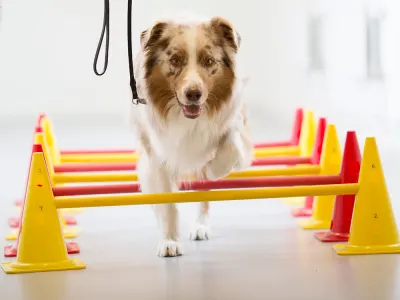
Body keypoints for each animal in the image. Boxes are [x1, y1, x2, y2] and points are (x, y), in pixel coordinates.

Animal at [130, 14, 253, 256]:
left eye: (209, 61)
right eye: (176, 60)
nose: (193, 94)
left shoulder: (235, 123)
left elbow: (228, 150)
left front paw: (212, 168)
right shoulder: (157, 152)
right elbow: (167, 201)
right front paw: (169, 241)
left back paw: (200, 226)